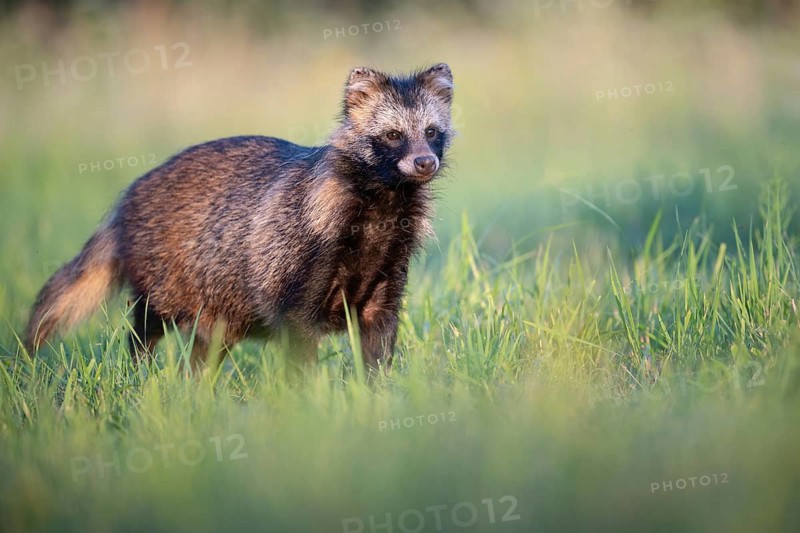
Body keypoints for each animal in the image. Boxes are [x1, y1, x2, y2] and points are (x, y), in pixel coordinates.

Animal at [25, 63, 454, 373]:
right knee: (145, 325)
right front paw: (309, 399)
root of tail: (129, 197)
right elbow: (300, 344)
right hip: (166, 275)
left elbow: (378, 342)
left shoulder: (387, 270)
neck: (381, 212)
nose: (424, 162)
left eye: (433, 131)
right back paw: (139, 371)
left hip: (217, 309)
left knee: (203, 350)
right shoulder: (298, 258)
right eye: (393, 134)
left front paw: (375, 392)